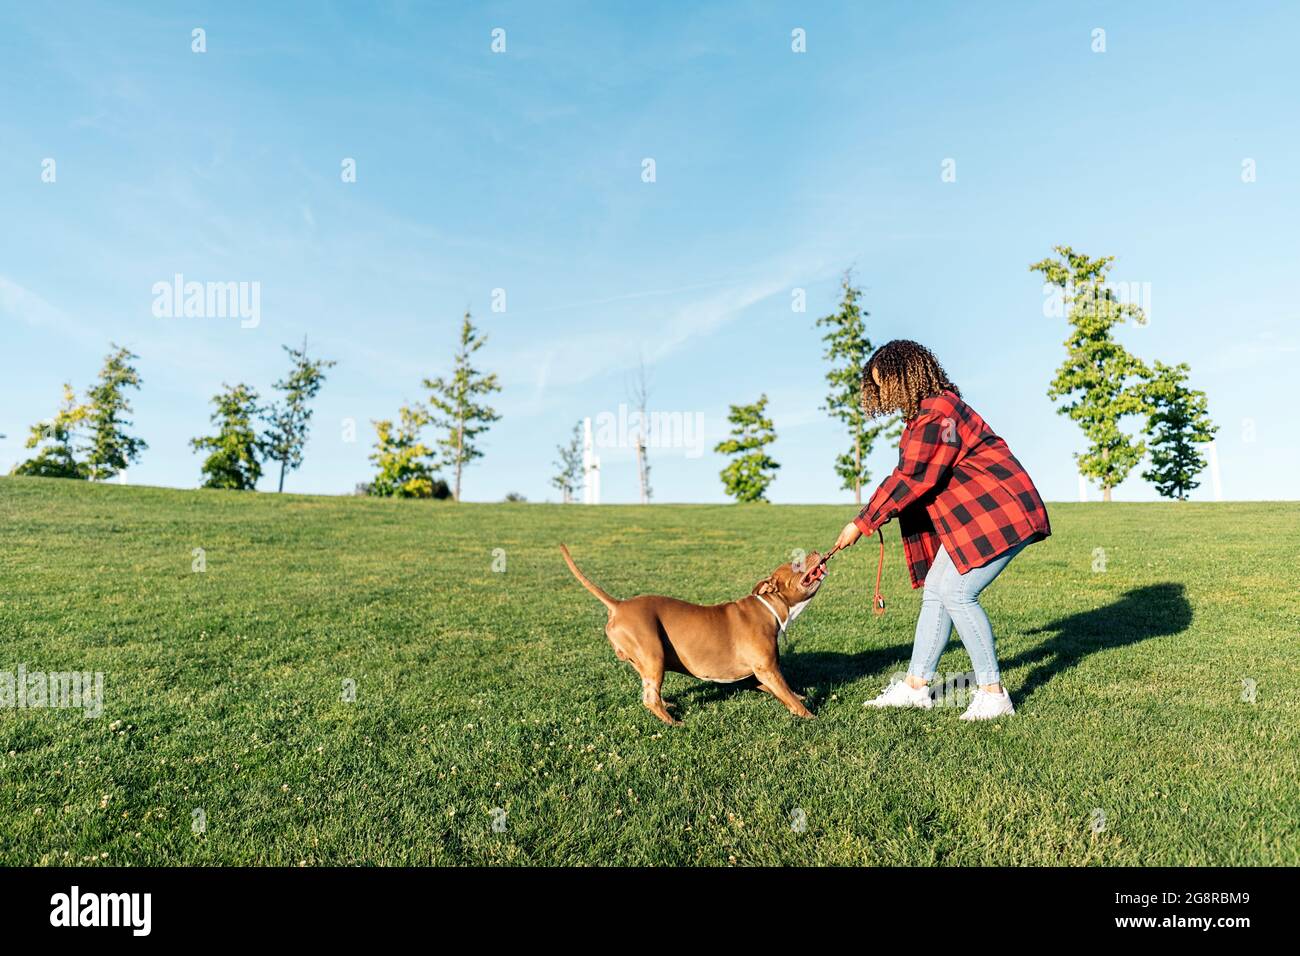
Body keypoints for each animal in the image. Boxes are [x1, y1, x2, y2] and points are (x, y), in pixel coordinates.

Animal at [556, 546, 821, 723]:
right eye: (796, 564)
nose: (817, 551)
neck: (769, 607)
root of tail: (618, 605)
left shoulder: (757, 675)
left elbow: (786, 691)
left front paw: (800, 696)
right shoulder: (768, 670)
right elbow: (788, 696)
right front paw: (809, 715)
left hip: (644, 663)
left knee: (650, 689)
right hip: (653, 655)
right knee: (650, 698)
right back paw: (672, 721)